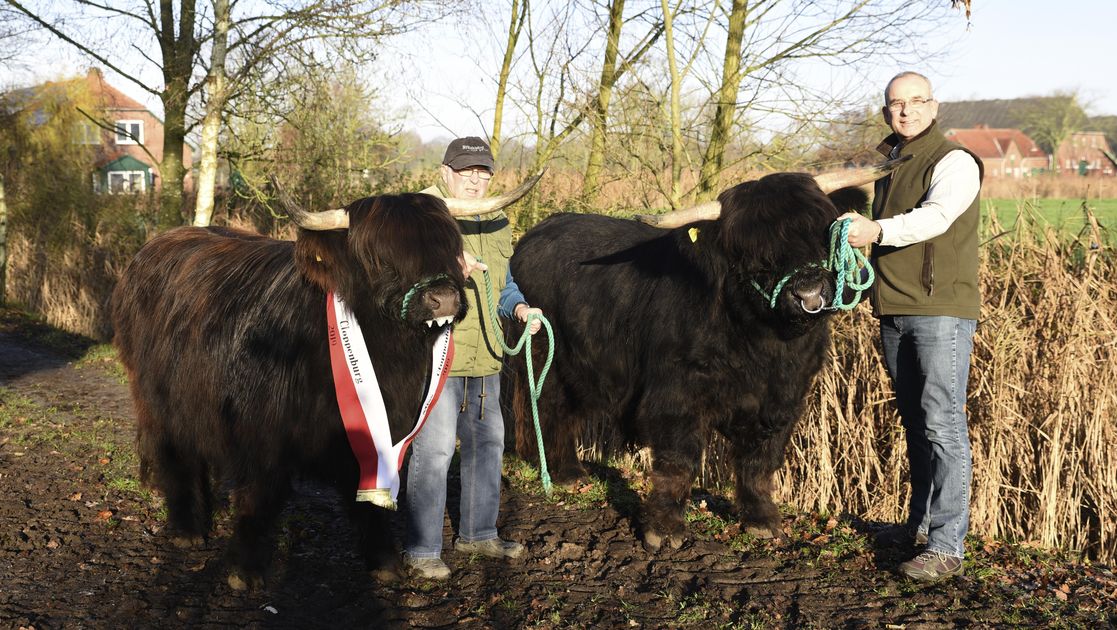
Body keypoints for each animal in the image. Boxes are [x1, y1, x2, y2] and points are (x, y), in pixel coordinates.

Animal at [110, 177, 539, 589]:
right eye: (379, 257)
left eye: (450, 246)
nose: (444, 298)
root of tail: (155, 245)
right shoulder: (261, 432)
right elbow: (258, 495)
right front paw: (244, 570)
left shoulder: (378, 431)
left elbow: (369, 495)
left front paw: (384, 562)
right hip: (157, 398)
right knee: (174, 452)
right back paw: (186, 530)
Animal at [505, 162, 902, 551]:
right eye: (752, 254)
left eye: (822, 232)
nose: (808, 293)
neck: (764, 346)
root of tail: (535, 234)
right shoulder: (676, 396)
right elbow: (678, 460)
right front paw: (664, 530)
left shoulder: (785, 398)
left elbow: (761, 461)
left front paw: (762, 520)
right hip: (546, 355)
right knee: (550, 407)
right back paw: (567, 473)